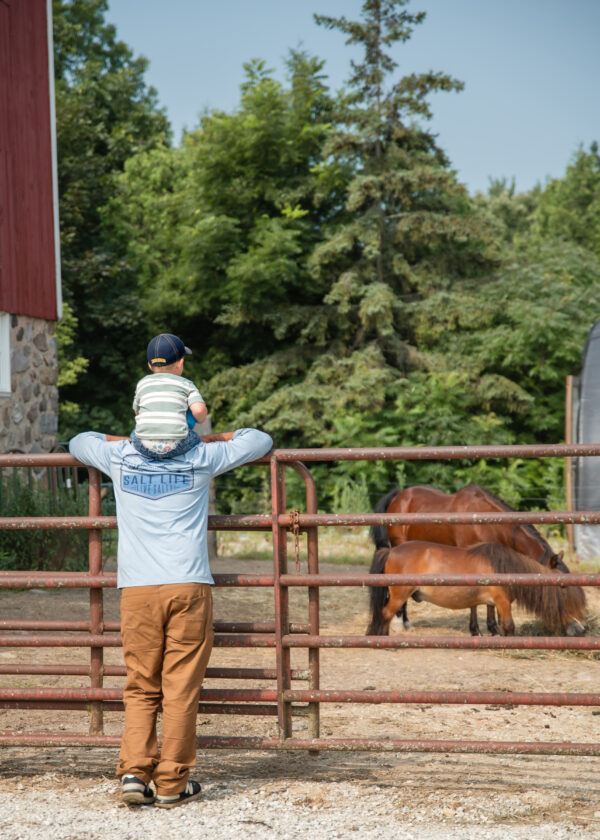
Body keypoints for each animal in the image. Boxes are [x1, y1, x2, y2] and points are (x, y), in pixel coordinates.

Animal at [366, 540, 584, 640]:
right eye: (563, 586)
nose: (581, 629)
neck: (505, 568)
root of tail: (391, 550)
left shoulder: (491, 603)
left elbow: (494, 623)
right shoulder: (503, 603)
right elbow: (509, 626)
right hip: (399, 595)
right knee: (385, 613)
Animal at [368, 482, 568, 632]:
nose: (570, 624)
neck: (485, 521)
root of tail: (399, 496)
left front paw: (493, 628)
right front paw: (476, 630)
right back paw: (401, 622)